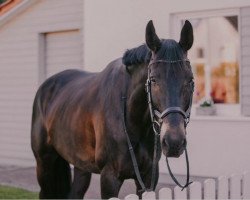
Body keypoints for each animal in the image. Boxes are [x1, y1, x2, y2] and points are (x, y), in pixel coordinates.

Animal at [31, 20, 194, 198]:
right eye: (153, 79)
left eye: (190, 80)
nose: (174, 142)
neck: (131, 119)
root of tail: (45, 87)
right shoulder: (110, 177)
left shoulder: (148, 177)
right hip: (44, 164)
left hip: (81, 166)